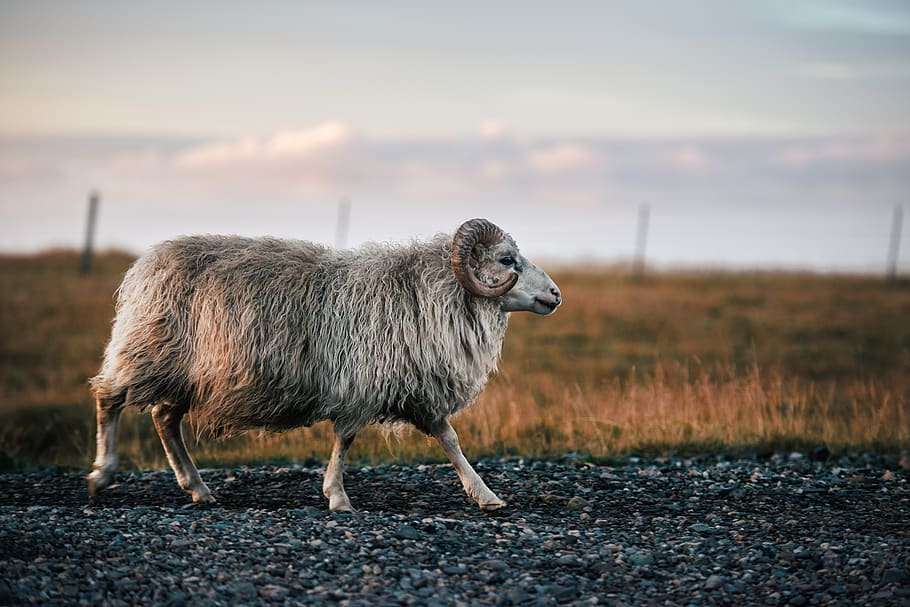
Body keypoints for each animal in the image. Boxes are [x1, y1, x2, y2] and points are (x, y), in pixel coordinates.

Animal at [87, 218, 561, 511]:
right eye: (507, 260)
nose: (556, 295)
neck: (427, 291)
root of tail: (146, 263)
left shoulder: (416, 389)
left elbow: (450, 440)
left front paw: (485, 494)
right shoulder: (361, 384)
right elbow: (345, 440)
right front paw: (338, 497)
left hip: (185, 373)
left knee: (164, 419)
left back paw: (198, 488)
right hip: (146, 351)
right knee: (109, 398)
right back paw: (101, 475)